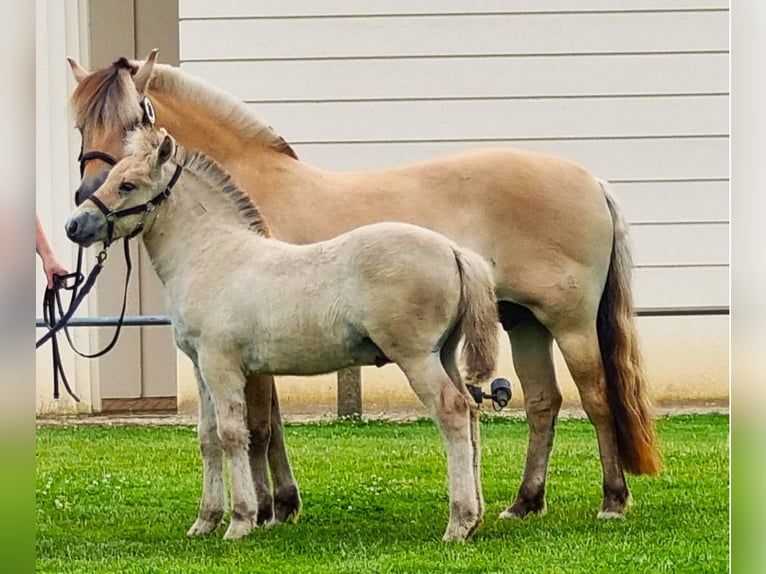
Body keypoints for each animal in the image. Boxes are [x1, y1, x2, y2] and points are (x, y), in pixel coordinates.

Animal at [69, 50, 664, 528]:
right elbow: (257, 429)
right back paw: (522, 503)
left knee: (595, 399)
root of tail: (591, 180)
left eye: (135, 117)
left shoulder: (236, 357)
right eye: (78, 125)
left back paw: (610, 500)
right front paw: (277, 505)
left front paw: (262, 512)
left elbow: (256, 428)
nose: (81, 209)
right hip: (523, 322)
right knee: (542, 403)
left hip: (568, 322)